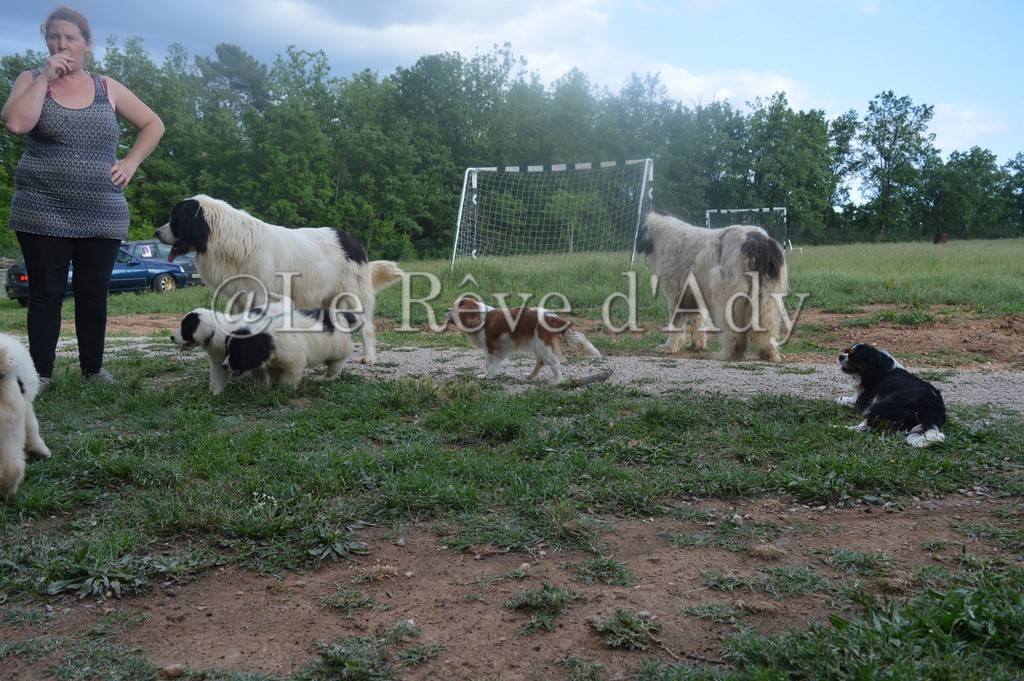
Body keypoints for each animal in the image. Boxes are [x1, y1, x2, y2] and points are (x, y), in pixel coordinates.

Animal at [155, 195, 403, 364]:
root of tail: (353, 242)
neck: (225, 239)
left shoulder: (261, 294)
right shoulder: (241, 296)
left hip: (354, 294)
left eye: (174, 219)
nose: (157, 232)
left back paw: (368, 357)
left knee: (366, 327)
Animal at [222, 307, 358, 387]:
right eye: (228, 351)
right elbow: (274, 372)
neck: (270, 336)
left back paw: (324, 378)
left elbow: (290, 375)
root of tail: (341, 314)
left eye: (237, 353)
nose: (223, 366)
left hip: (338, 351)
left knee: (335, 367)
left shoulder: (295, 360)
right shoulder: (276, 360)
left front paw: (285, 387)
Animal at [447, 295, 601, 382]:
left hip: (542, 345)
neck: (480, 317)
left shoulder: (492, 348)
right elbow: (488, 364)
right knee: (541, 362)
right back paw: (531, 376)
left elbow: (490, 365)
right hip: (537, 345)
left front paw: (486, 376)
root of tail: (551, 316)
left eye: (454, 308)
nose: (446, 310)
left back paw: (557, 382)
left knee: (554, 362)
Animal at [636, 212, 788, 361]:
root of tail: (759, 241)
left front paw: (669, 347)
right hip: (767, 298)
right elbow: (698, 321)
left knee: (734, 333)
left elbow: (676, 324)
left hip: (728, 296)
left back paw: (727, 354)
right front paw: (697, 345)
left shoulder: (676, 295)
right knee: (767, 326)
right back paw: (769, 353)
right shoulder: (694, 294)